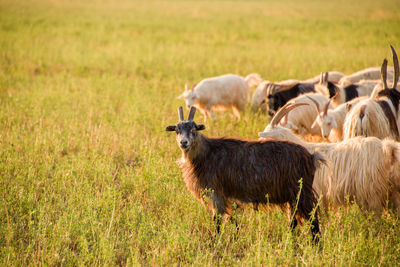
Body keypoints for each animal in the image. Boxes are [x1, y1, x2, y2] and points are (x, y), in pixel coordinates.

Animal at [166, 106, 324, 241]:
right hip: (293, 197)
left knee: (313, 220)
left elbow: (217, 220)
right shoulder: (224, 196)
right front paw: (235, 236)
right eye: (177, 130)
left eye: (194, 129)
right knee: (294, 221)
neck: (207, 153)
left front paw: (215, 242)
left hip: (302, 193)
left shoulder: (215, 192)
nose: (183, 142)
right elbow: (231, 218)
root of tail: (311, 157)